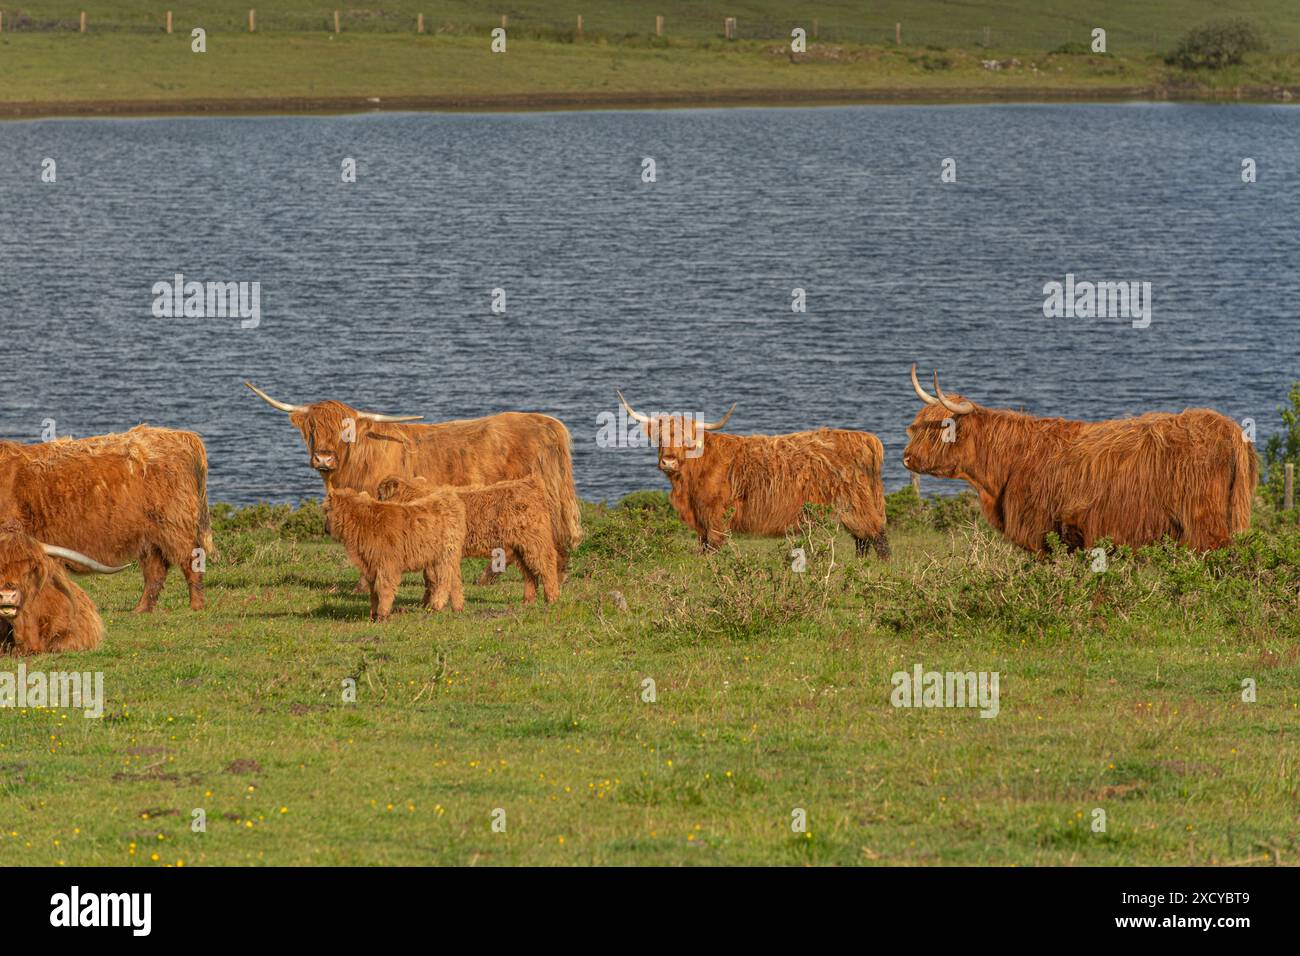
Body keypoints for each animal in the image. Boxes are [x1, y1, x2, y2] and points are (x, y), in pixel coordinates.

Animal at [0, 426, 213, 613]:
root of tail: (182, 436)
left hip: (175, 525)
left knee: (191, 560)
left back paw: (196, 606)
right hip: (150, 535)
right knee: (155, 570)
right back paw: (140, 610)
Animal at [377, 472, 561, 605]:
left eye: (380, 495)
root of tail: (529, 483)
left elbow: (433, 578)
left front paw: (430, 603)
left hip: (534, 541)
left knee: (547, 565)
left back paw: (552, 598)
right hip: (519, 547)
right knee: (529, 573)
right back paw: (528, 600)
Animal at [617, 392, 890, 557]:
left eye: (687, 440)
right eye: (660, 437)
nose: (669, 461)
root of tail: (865, 438)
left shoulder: (715, 516)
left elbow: (713, 547)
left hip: (857, 505)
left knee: (877, 536)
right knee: (862, 540)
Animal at [903, 365, 1258, 553]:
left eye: (939, 429)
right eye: (915, 426)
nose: (906, 458)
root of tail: (1227, 427)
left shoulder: (1044, 533)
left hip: (1204, 524)